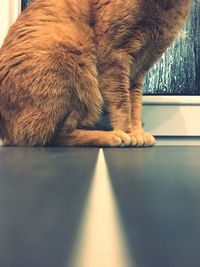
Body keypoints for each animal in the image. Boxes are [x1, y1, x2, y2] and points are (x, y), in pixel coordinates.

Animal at [0, 0, 191, 147]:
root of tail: (6, 132)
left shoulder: (138, 70)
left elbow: (135, 105)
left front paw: (138, 131)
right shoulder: (115, 56)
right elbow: (122, 104)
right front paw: (128, 133)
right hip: (75, 65)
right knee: (52, 136)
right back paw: (112, 136)